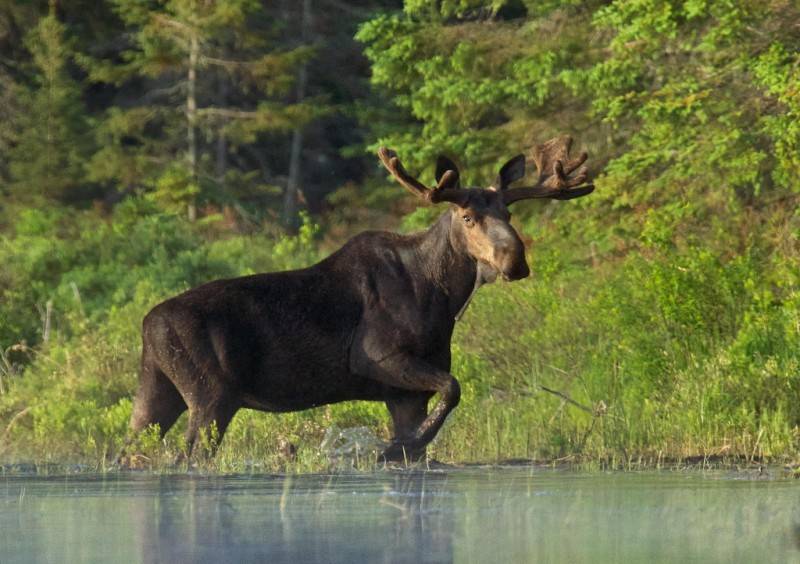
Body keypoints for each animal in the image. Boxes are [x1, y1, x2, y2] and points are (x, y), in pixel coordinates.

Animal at [120, 134, 592, 460]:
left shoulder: (404, 395)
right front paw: (391, 448)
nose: (515, 261)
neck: (443, 299)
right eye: (467, 217)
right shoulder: (377, 357)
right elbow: (454, 388)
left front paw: (402, 447)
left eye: (509, 213)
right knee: (189, 456)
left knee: (131, 450)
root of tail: (146, 325)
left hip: (157, 391)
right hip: (211, 395)